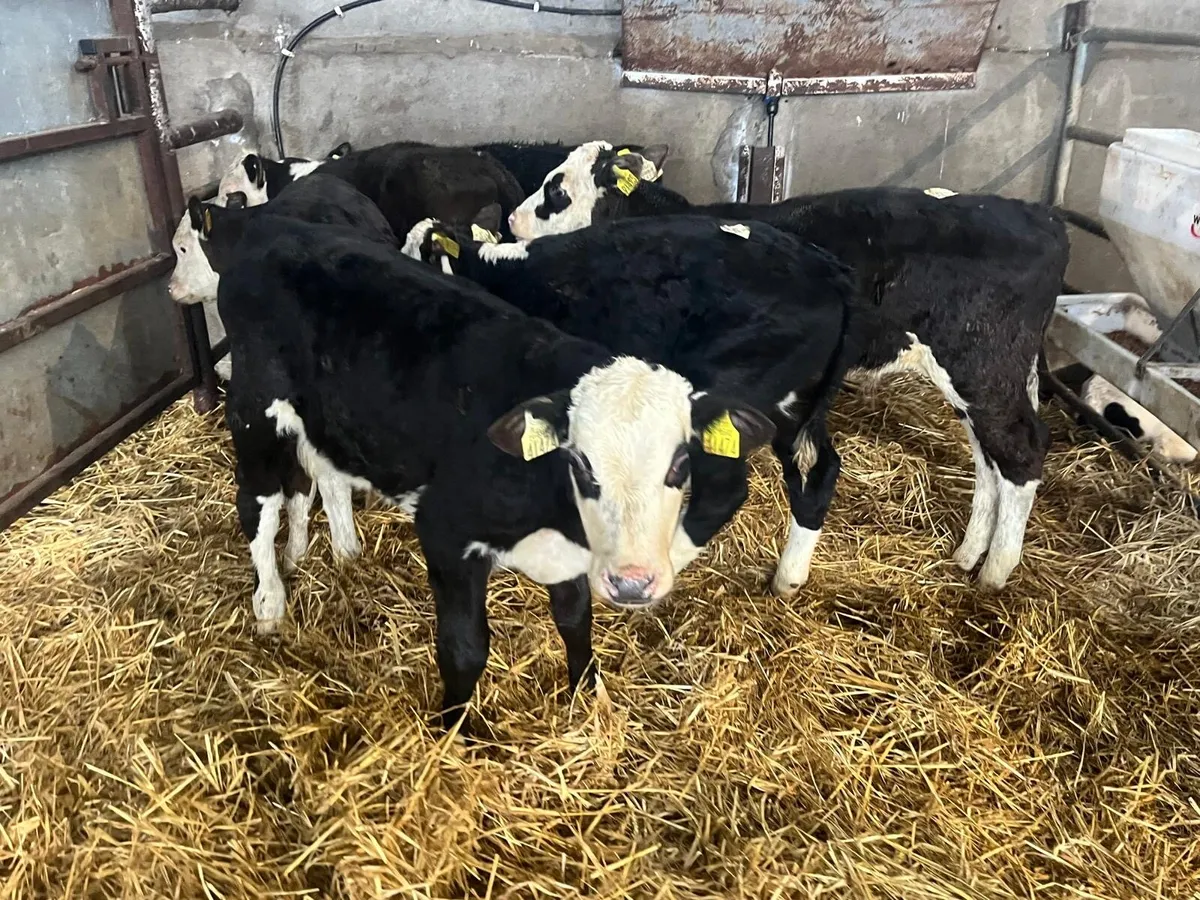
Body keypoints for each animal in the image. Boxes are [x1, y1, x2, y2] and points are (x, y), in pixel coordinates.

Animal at [217, 213, 775, 732]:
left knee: (317, 477)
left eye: (679, 463)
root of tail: (270, 225)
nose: (633, 583)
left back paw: (326, 552)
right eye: (580, 461)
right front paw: (453, 732)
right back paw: (270, 601)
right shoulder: (446, 532)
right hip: (253, 409)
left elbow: (575, 620)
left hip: (322, 422)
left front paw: (589, 696)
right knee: (258, 505)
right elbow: (465, 647)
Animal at [402, 212, 856, 593]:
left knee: (723, 491)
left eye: (418, 252)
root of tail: (828, 270)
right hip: (790, 410)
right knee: (819, 472)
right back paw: (788, 578)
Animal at [504, 141, 1071, 590]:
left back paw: (995, 571)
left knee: (1021, 451)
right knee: (989, 457)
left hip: (978, 363)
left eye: (555, 189)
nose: (511, 220)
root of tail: (1040, 215)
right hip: (987, 378)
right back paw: (968, 553)